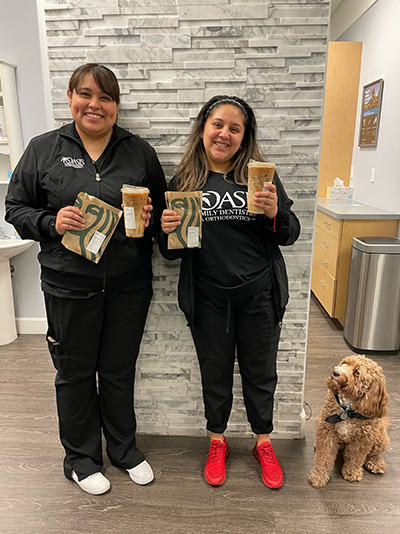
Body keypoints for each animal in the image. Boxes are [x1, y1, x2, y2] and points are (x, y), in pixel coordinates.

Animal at [308, 356, 390, 490]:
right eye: (344, 363)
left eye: (357, 372)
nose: (335, 372)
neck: (348, 410)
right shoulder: (327, 431)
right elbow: (324, 456)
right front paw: (319, 476)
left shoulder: (363, 439)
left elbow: (355, 458)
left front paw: (352, 473)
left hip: (380, 438)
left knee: (373, 453)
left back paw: (376, 463)